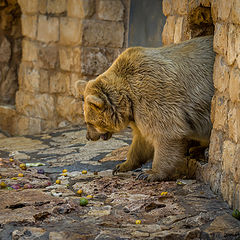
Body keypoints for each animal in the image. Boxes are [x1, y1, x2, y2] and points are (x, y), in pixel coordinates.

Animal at [81, 35, 215, 181]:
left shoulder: (153, 95)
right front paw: (122, 165)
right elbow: (141, 140)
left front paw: (150, 173)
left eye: (89, 122)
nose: (88, 136)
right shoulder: (137, 113)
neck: (127, 98)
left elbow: (166, 133)